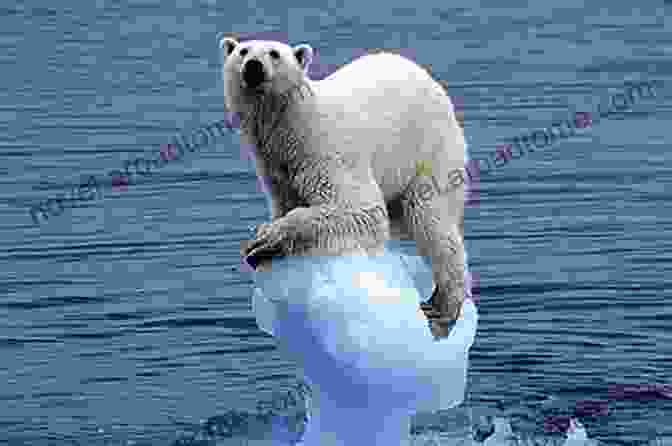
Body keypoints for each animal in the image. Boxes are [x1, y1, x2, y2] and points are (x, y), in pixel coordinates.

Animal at [219, 37, 468, 338]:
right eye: (242, 51)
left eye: (274, 53)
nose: (253, 66)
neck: (290, 128)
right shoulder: (276, 170)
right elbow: (288, 203)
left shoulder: (323, 151)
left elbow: (360, 208)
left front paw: (265, 239)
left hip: (430, 149)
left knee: (432, 220)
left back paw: (442, 308)